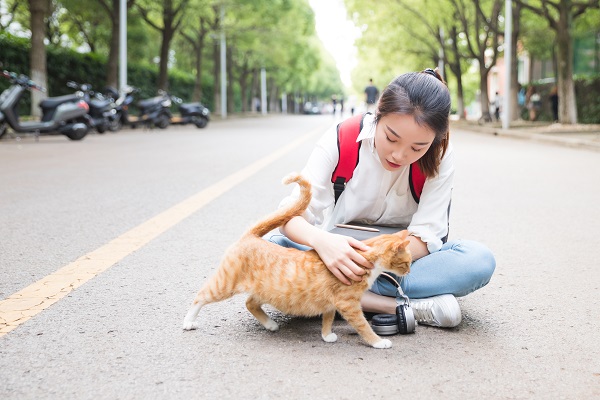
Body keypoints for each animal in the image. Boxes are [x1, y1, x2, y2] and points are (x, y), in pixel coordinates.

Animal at [180, 173, 410, 348]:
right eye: (406, 262)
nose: (408, 271)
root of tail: (251, 236)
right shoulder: (348, 304)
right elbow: (363, 326)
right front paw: (378, 342)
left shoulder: (332, 302)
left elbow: (327, 318)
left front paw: (326, 335)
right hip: (225, 284)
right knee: (200, 296)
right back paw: (189, 321)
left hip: (267, 290)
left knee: (250, 303)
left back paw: (270, 324)